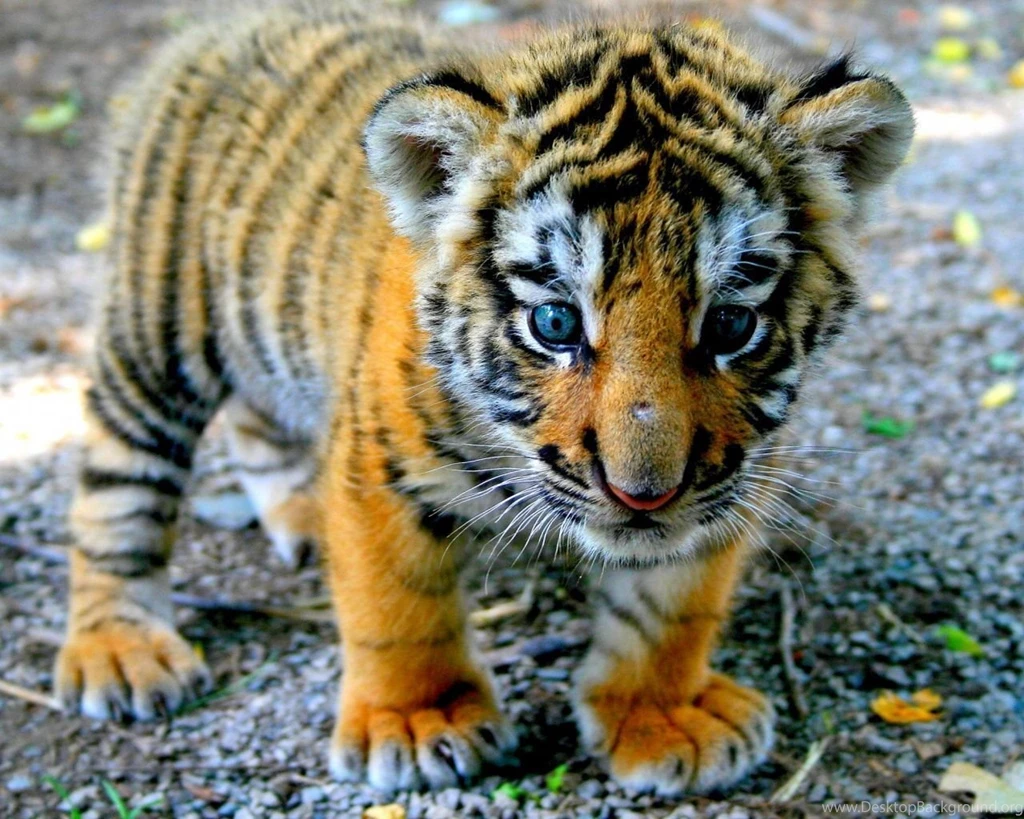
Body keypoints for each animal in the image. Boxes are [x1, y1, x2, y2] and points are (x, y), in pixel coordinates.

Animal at [54, 2, 913, 797]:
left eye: (731, 324)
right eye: (555, 322)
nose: (643, 494)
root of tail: (226, 25)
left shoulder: (732, 474)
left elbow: (672, 605)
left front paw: (661, 713)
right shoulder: (381, 463)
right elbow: (398, 604)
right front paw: (417, 720)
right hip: (157, 331)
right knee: (117, 486)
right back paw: (120, 648)